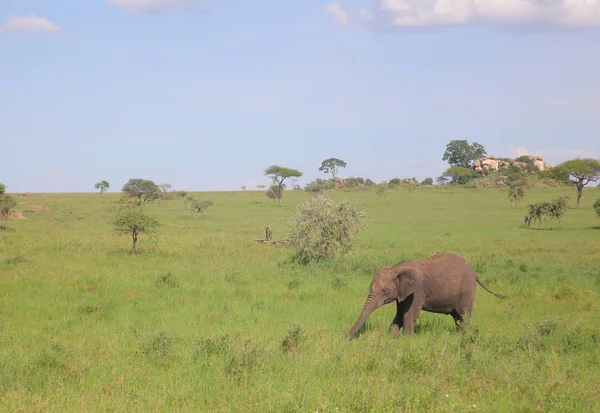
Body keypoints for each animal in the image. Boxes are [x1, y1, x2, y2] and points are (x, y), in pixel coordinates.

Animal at [346, 251, 506, 338]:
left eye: (384, 291)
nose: (346, 338)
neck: (397, 268)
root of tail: (474, 272)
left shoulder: (417, 291)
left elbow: (410, 314)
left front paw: (406, 339)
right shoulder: (403, 293)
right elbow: (400, 314)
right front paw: (393, 336)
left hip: (467, 290)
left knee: (463, 315)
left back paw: (463, 335)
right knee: (457, 317)